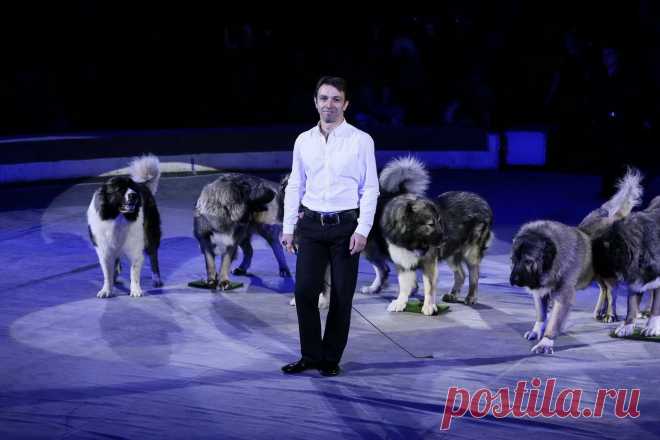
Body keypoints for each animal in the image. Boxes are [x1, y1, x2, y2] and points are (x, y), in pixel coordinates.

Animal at [87, 155, 162, 300]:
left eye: (132, 188)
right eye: (120, 189)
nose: (134, 195)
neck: (117, 218)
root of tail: (143, 184)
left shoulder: (136, 248)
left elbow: (134, 271)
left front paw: (136, 290)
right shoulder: (104, 249)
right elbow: (107, 272)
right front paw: (106, 289)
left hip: (151, 234)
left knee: (154, 256)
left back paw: (156, 279)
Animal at [508, 220, 596, 354]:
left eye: (528, 261)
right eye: (513, 260)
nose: (514, 279)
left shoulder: (563, 296)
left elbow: (554, 321)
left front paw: (545, 343)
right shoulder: (540, 293)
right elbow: (541, 315)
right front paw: (536, 332)